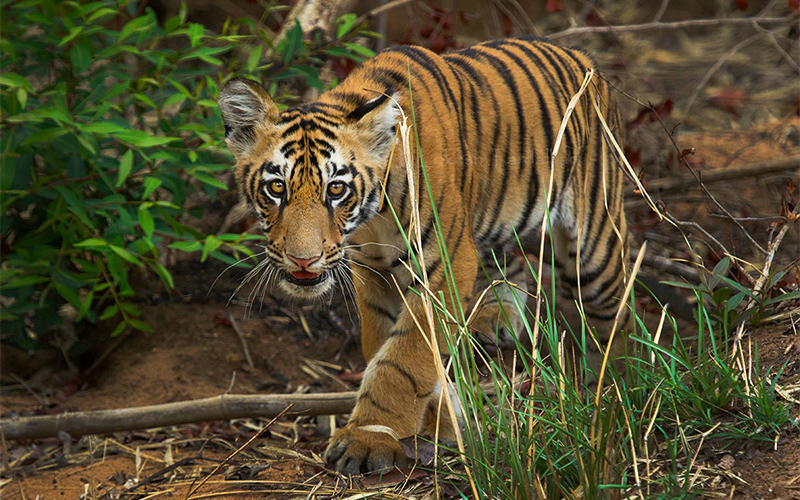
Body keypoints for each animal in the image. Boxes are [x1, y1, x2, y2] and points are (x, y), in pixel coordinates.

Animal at [219, 35, 632, 472]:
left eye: (336, 189)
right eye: (276, 188)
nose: (303, 259)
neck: (374, 217)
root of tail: (583, 58)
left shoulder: (445, 265)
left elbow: (403, 358)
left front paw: (370, 437)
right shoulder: (374, 273)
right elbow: (383, 347)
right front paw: (439, 421)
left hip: (594, 239)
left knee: (615, 313)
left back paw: (615, 392)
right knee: (511, 263)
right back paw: (496, 320)